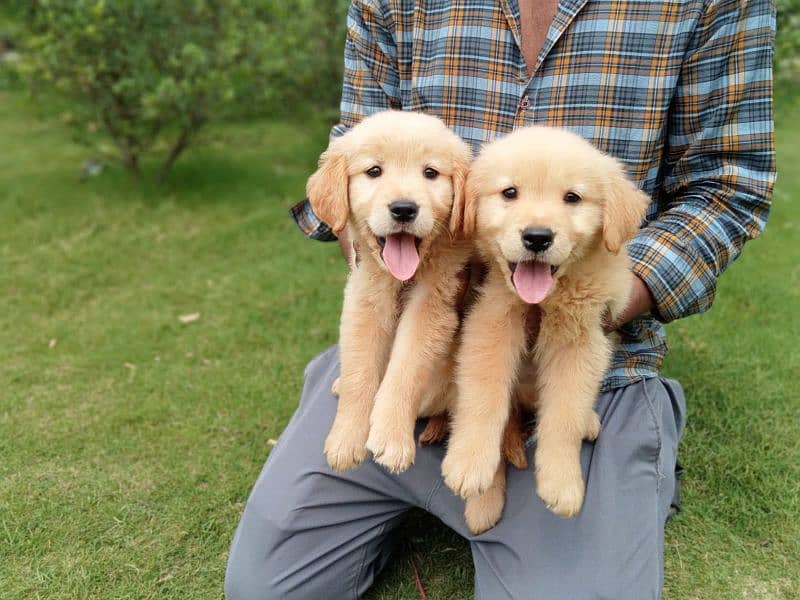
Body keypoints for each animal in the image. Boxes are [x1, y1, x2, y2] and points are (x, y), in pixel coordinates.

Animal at [304, 109, 472, 474]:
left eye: (430, 173)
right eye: (374, 171)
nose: (404, 208)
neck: (402, 277)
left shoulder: (431, 306)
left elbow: (406, 370)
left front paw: (392, 438)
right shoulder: (365, 299)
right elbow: (360, 372)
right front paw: (346, 438)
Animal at [440, 127, 652, 520]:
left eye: (572, 198)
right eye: (509, 192)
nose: (537, 237)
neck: (545, 299)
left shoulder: (581, 341)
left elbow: (564, 414)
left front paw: (562, 482)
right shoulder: (490, 322)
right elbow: (483, 397)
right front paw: (469, 463)